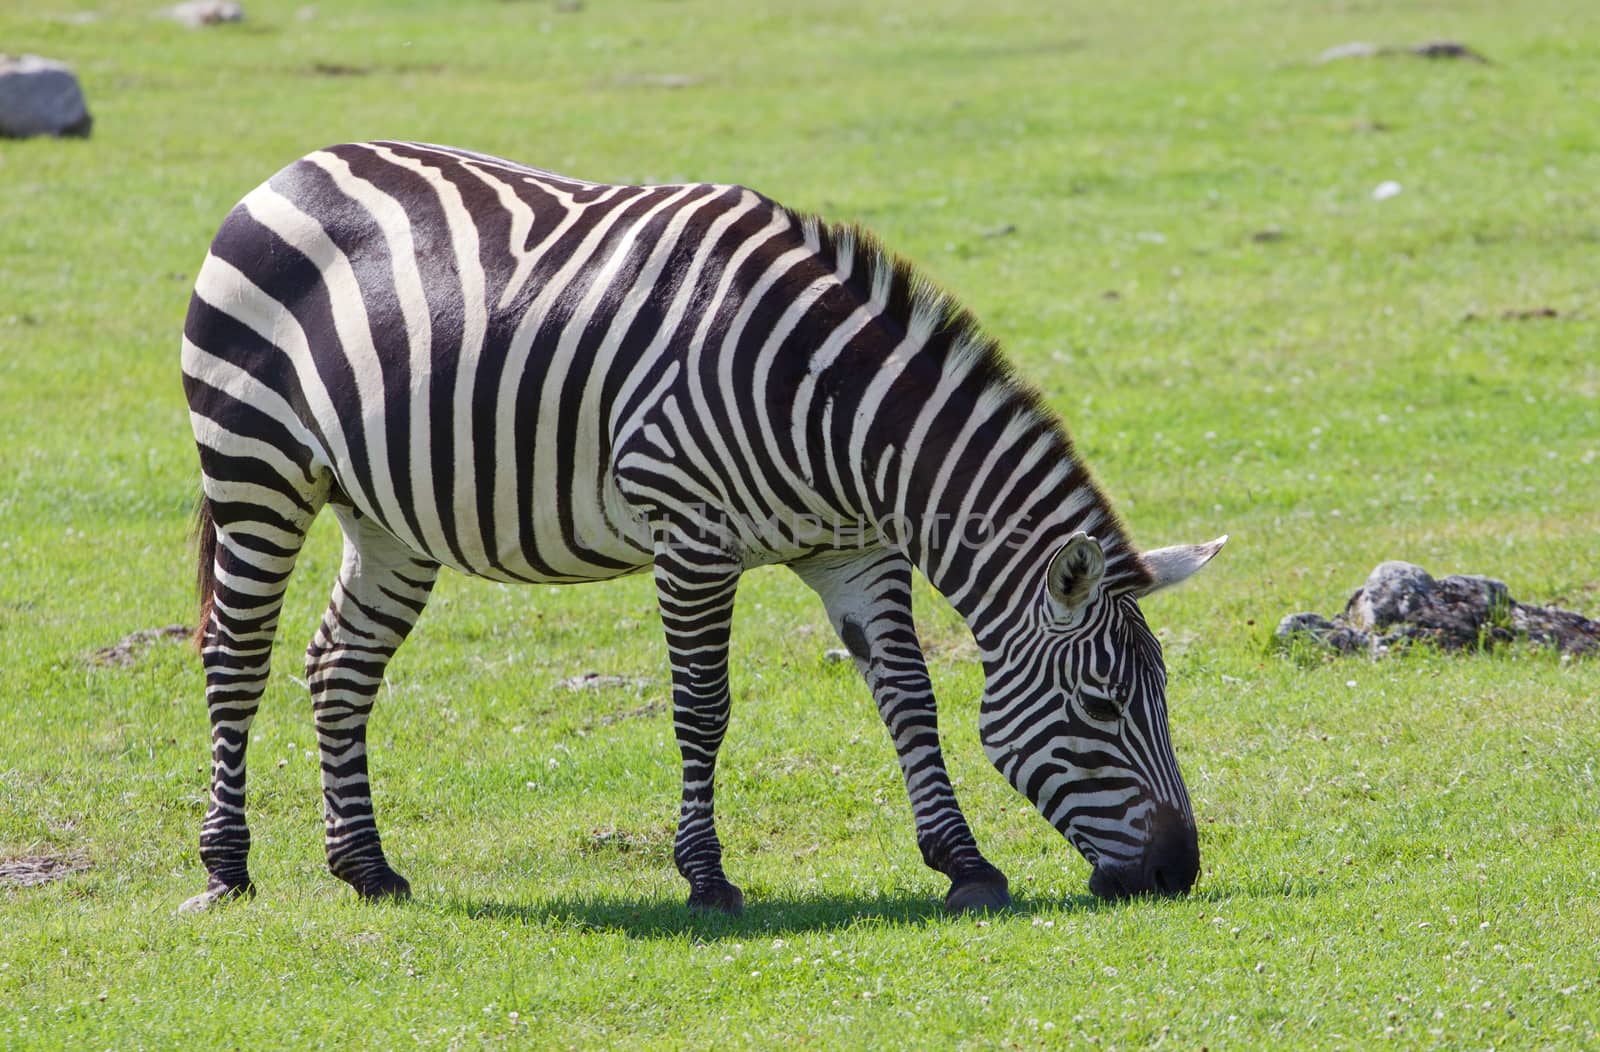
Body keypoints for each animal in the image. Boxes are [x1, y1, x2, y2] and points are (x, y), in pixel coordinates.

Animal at [178, 139, 1222, 908]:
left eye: (1163, 702)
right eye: (1101, 707)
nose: (1177, 875)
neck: (829, 407)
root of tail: (296, 167)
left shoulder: (857, 553)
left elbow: (910, 697)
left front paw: (964, 865)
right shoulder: (692, 540)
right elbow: (703, 708)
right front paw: (706, 877)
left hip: (388, 516)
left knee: (339, 665)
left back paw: (366, 868)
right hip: (257, 469)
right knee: (236, 659)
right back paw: (227, 869)